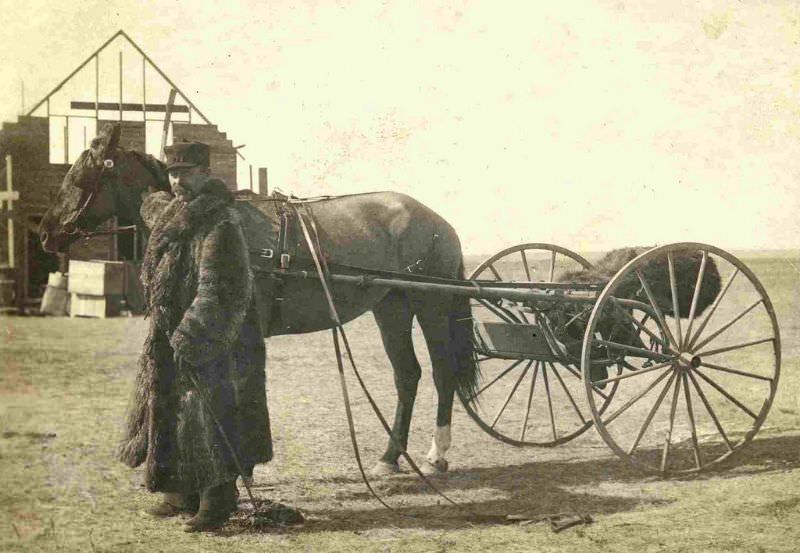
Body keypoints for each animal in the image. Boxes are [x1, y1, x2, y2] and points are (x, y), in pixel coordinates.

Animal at [40, 124, 478, 474]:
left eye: (82, 177)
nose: (46, 233)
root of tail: (439, 223)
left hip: (431, 307)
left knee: (441, 373)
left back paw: (436, 455)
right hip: (391, 308)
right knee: (407, 375)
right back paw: (389, 458)